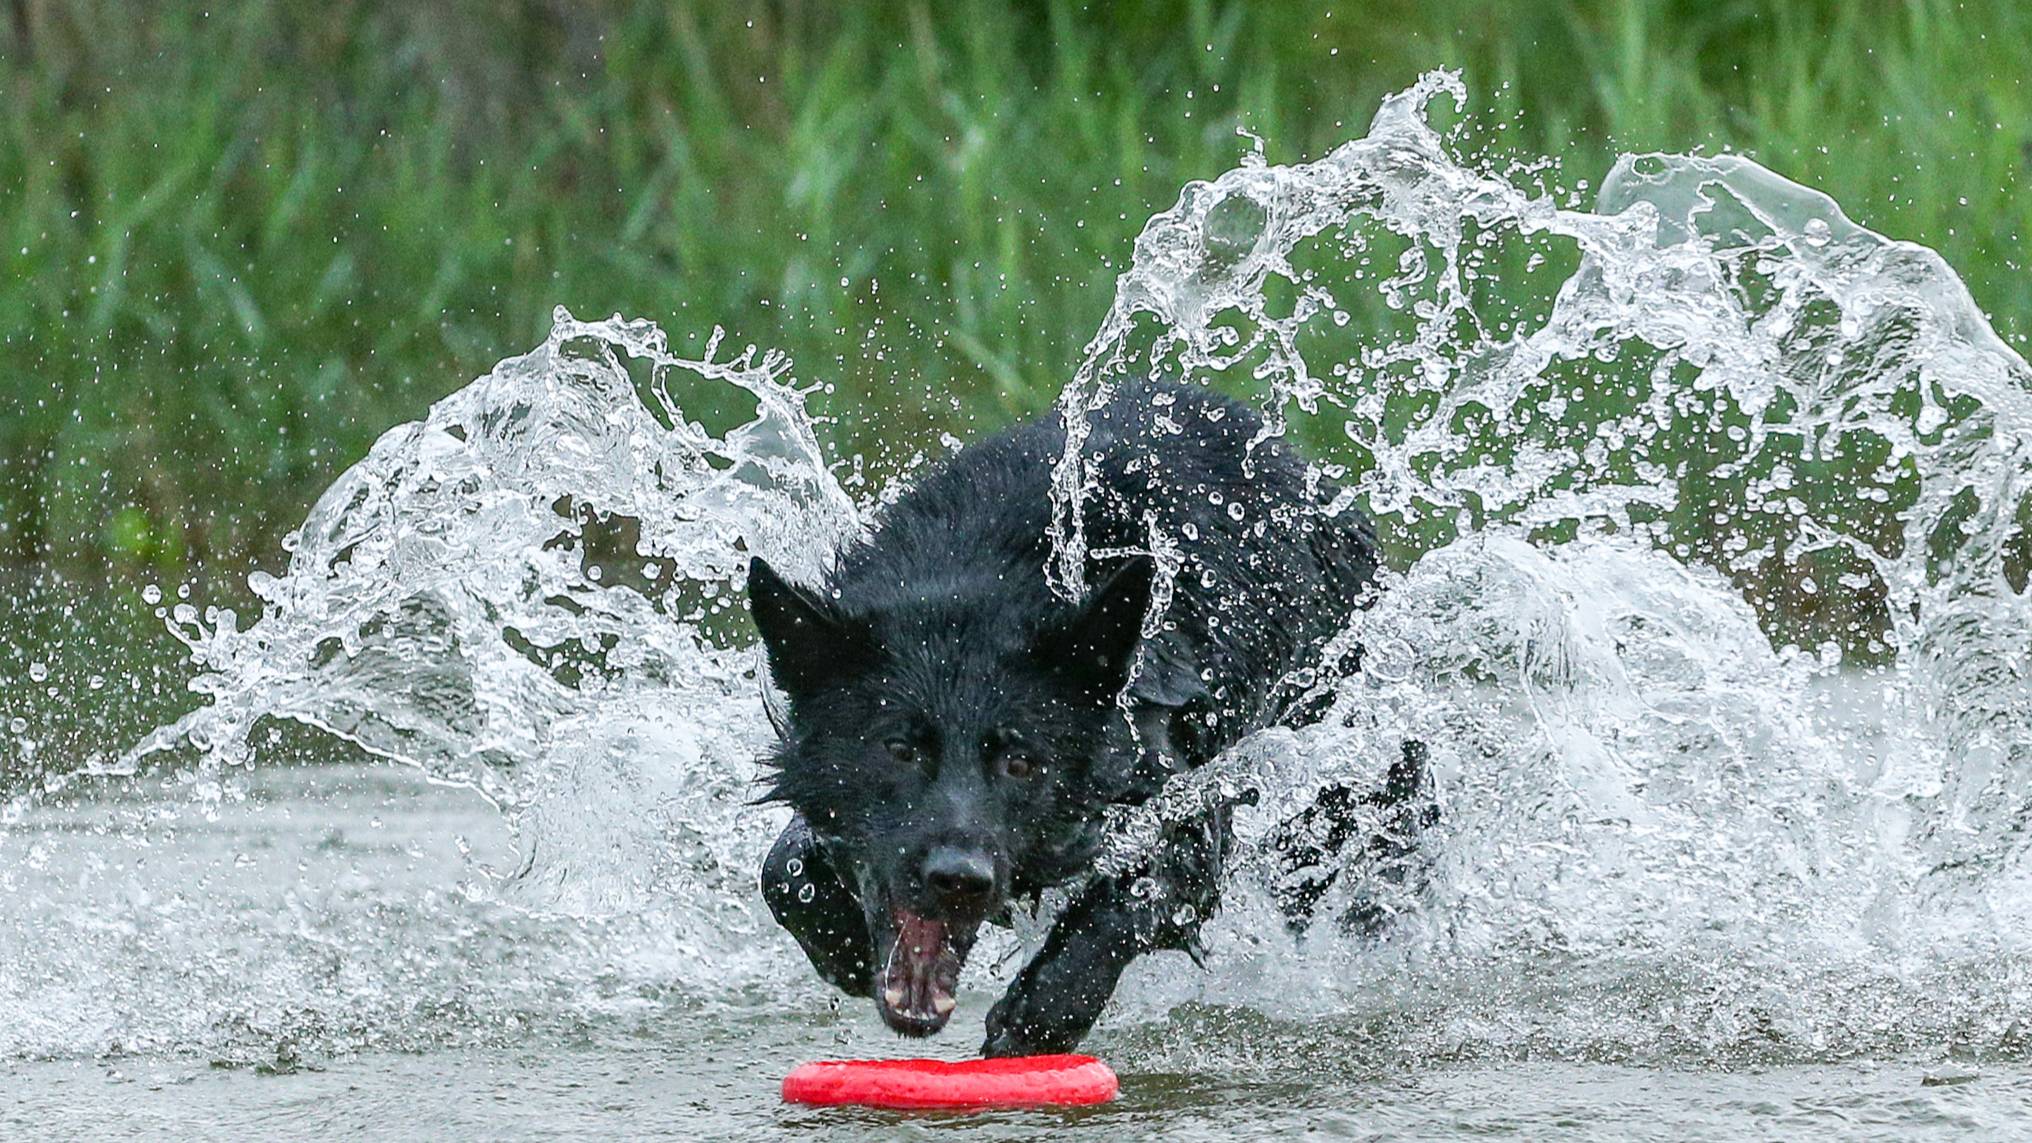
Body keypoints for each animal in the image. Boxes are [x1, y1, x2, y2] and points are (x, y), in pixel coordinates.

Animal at [755, 378, 1406, 1057]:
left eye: (1021, 762)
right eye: (899, 750)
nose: (960, 879)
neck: (979, 577)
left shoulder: (1176, 787)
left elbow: (1135, 899)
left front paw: (1043, 1012)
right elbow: (783, 868)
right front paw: (840, 939)